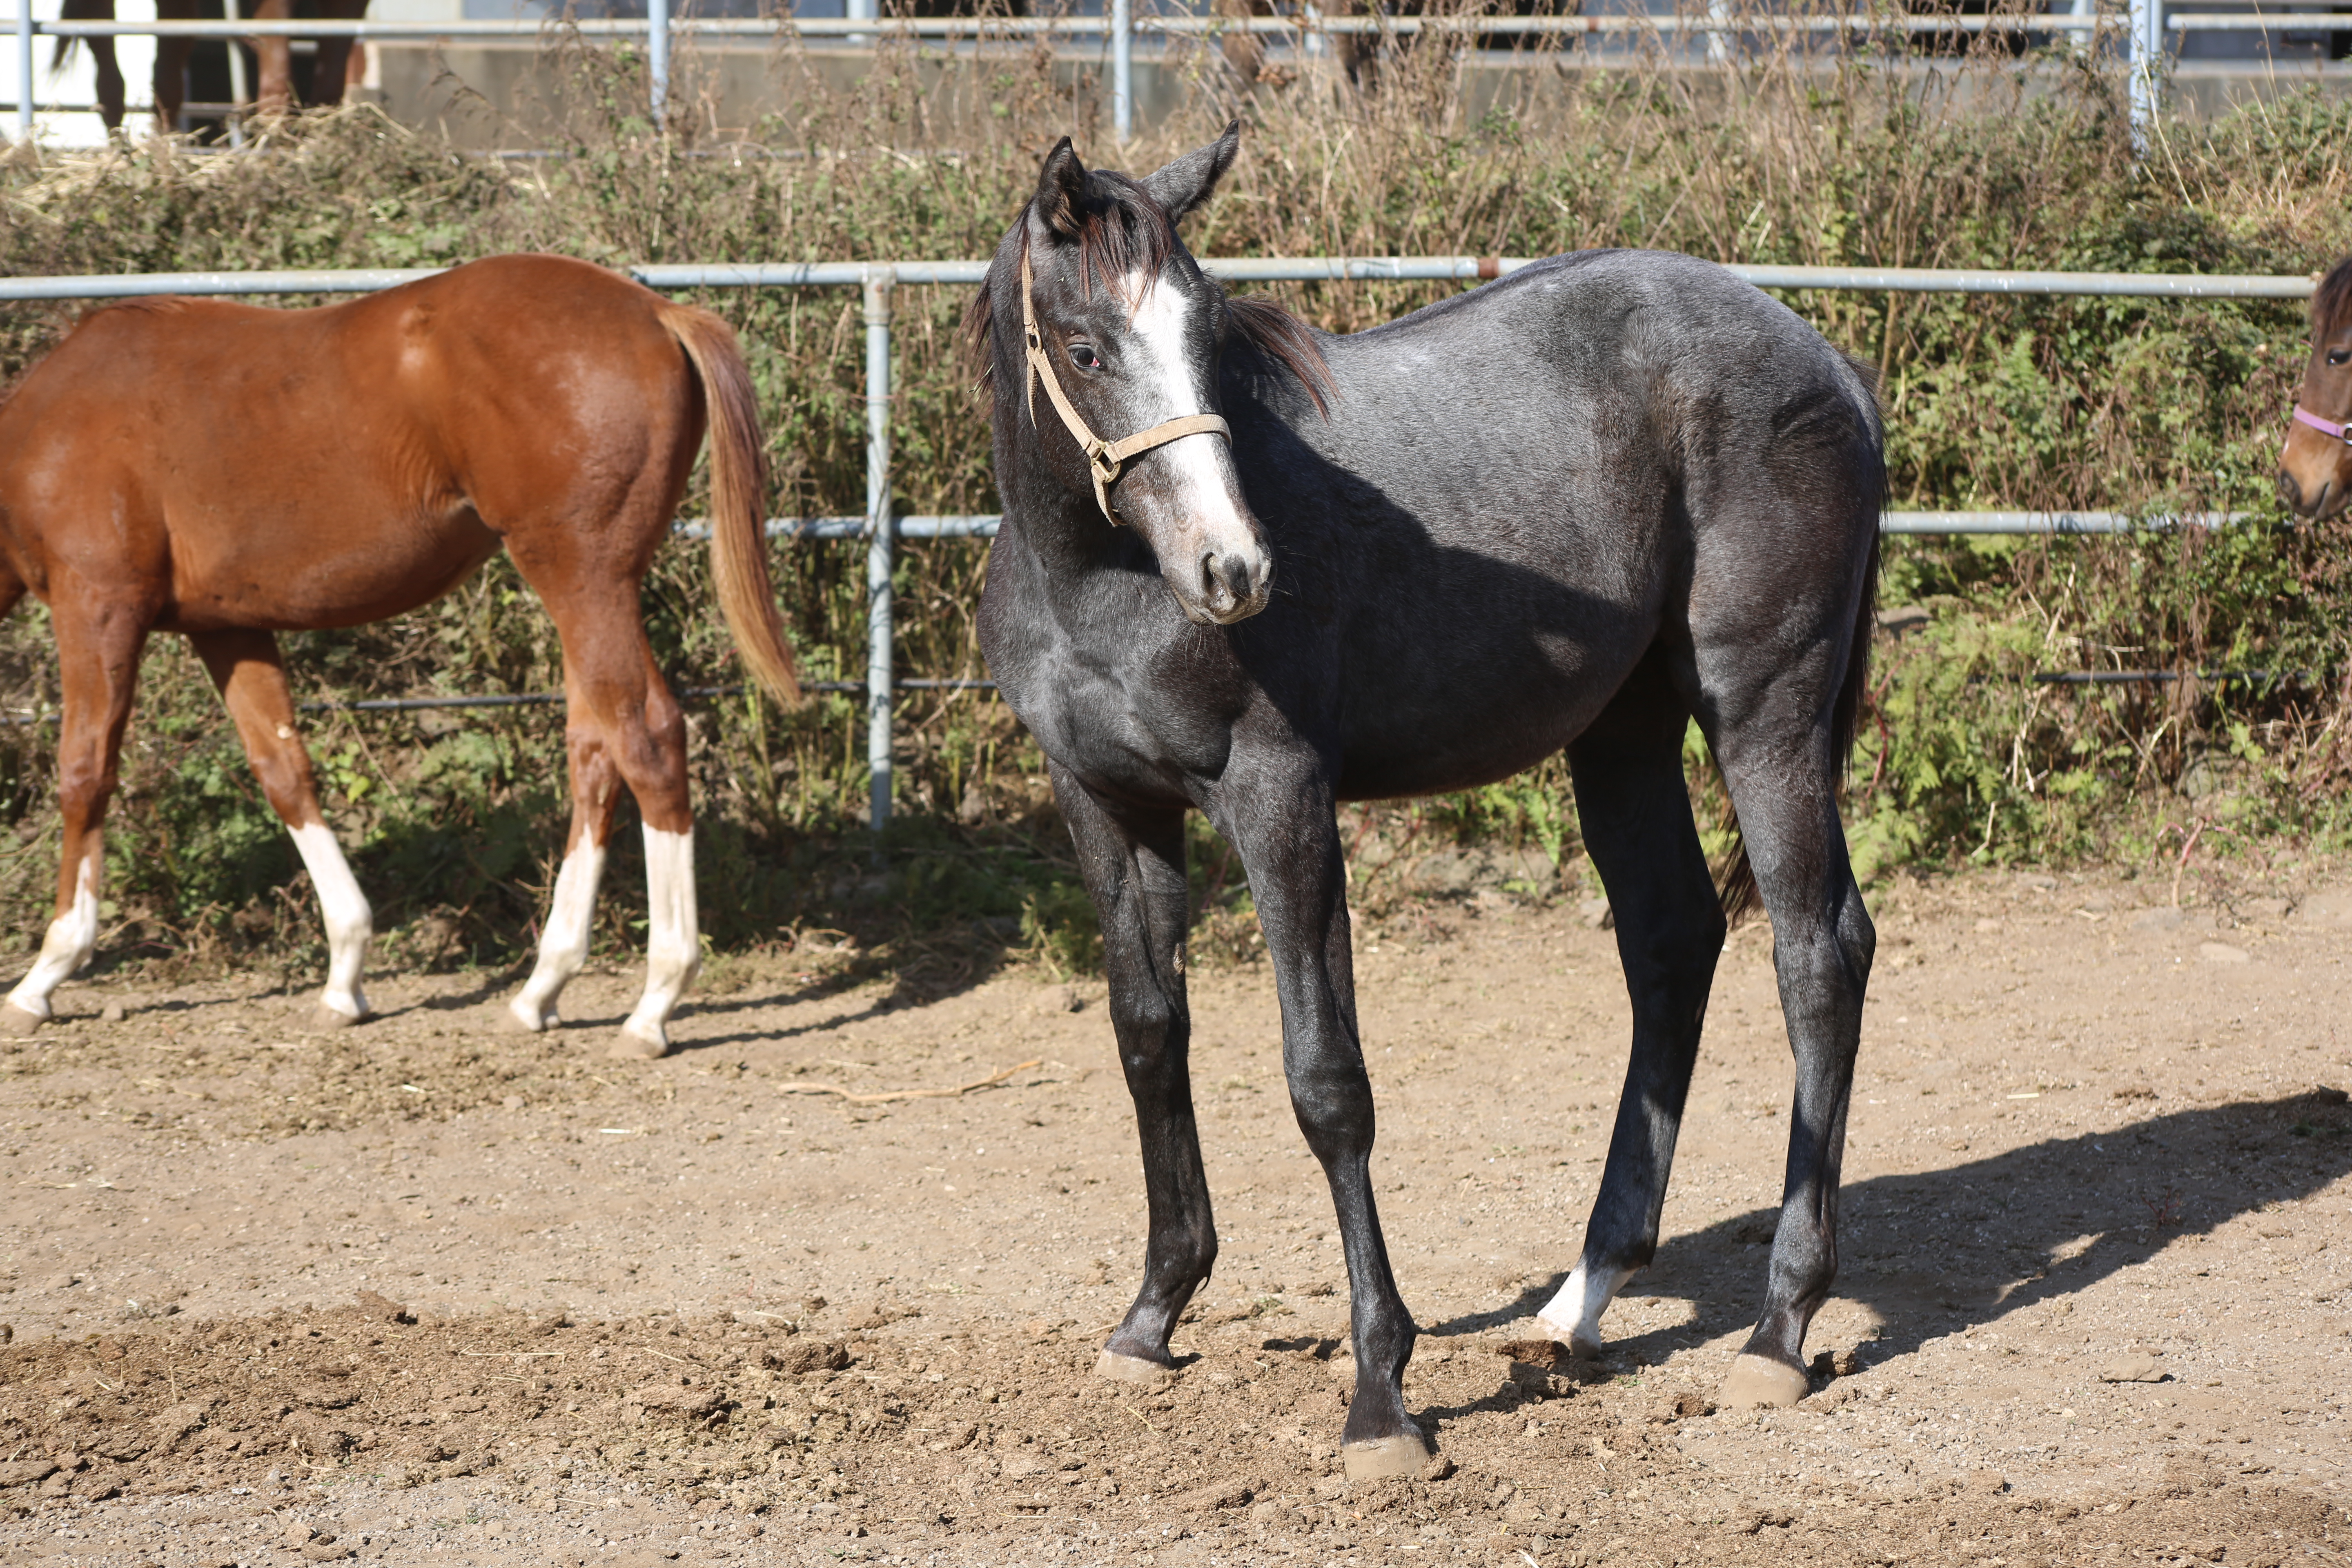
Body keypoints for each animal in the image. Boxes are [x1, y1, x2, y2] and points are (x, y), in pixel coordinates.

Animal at [0, 257, 800, 1062]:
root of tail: (658, 313)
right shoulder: (230, 629)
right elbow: (284, 773)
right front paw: (344, 977)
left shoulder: (97, 606)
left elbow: (85, 772)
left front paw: (45, 974)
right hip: (588, 592)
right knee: (596, 754)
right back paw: (540, 991)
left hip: (584, 581)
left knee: (649, 740)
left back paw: (654, 1003)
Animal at [964, 126, 1882, 1486]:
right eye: (1084, 347)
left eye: (1210, 328)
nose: (1234, 569)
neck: (1100, 579)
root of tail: (1825, 358)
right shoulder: (1107, 806)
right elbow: (1147, 1039)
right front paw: (1151, 1317)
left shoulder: (1280, 799)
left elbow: (1326, 1081)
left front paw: (1381, 1397)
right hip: (1621, 732)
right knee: (1673, 944)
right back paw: (1582, 1298)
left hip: (1765, 712)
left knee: (1818, 955)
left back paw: (1778, 1329)